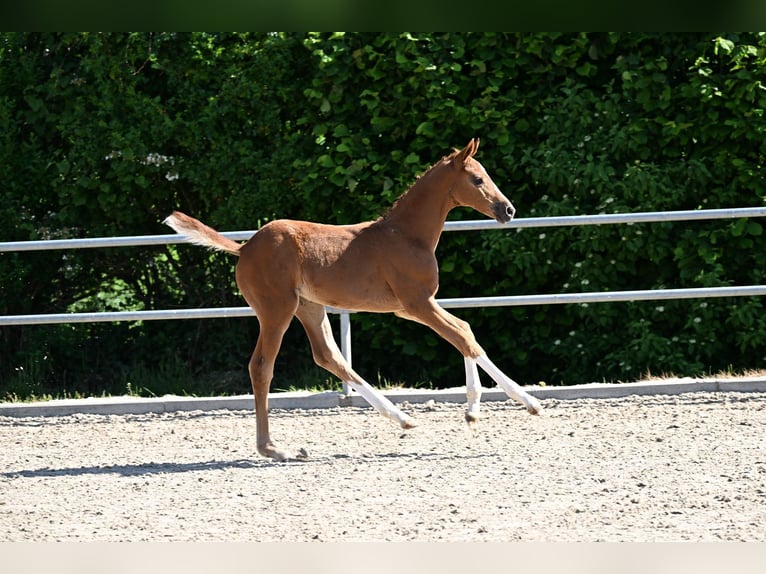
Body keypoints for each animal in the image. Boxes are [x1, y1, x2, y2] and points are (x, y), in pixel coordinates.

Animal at [164, 138, 541, 461]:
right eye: (477, 179)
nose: (508, 210)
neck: (406, 235)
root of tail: (244, 248)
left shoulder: (409, 309)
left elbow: (464, 331)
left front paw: (479, 410)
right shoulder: (418, 303)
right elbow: (463, 337)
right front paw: (522, 403)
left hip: (309, 307)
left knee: (330, 357)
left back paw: (401, 418)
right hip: (276, 309)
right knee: (262, 366)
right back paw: (273, 448)